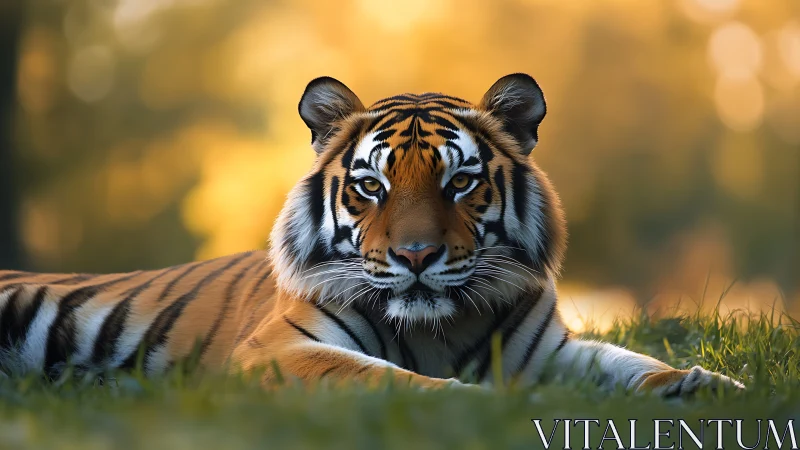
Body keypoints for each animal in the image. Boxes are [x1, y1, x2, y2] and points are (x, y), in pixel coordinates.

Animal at [0, 73, 744, 396]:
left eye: (459, 182)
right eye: (371, 186)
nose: (416, 256)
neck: (440, 327)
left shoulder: (551, 352)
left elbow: (631, 365)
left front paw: (707, 386)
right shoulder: (280, 351)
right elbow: (393, 382)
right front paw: (478, 407)